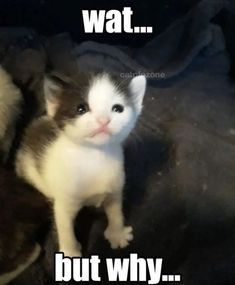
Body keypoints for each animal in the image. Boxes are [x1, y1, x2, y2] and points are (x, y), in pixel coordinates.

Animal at [15, 70, 146, 255]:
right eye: (81, 109)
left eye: (118, 108)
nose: (103, 120)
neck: (95, 156)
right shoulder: (64, 201)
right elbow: (65, 227)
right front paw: (71, 253)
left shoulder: (114, 188)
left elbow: (115, 211)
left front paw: (117, 234)